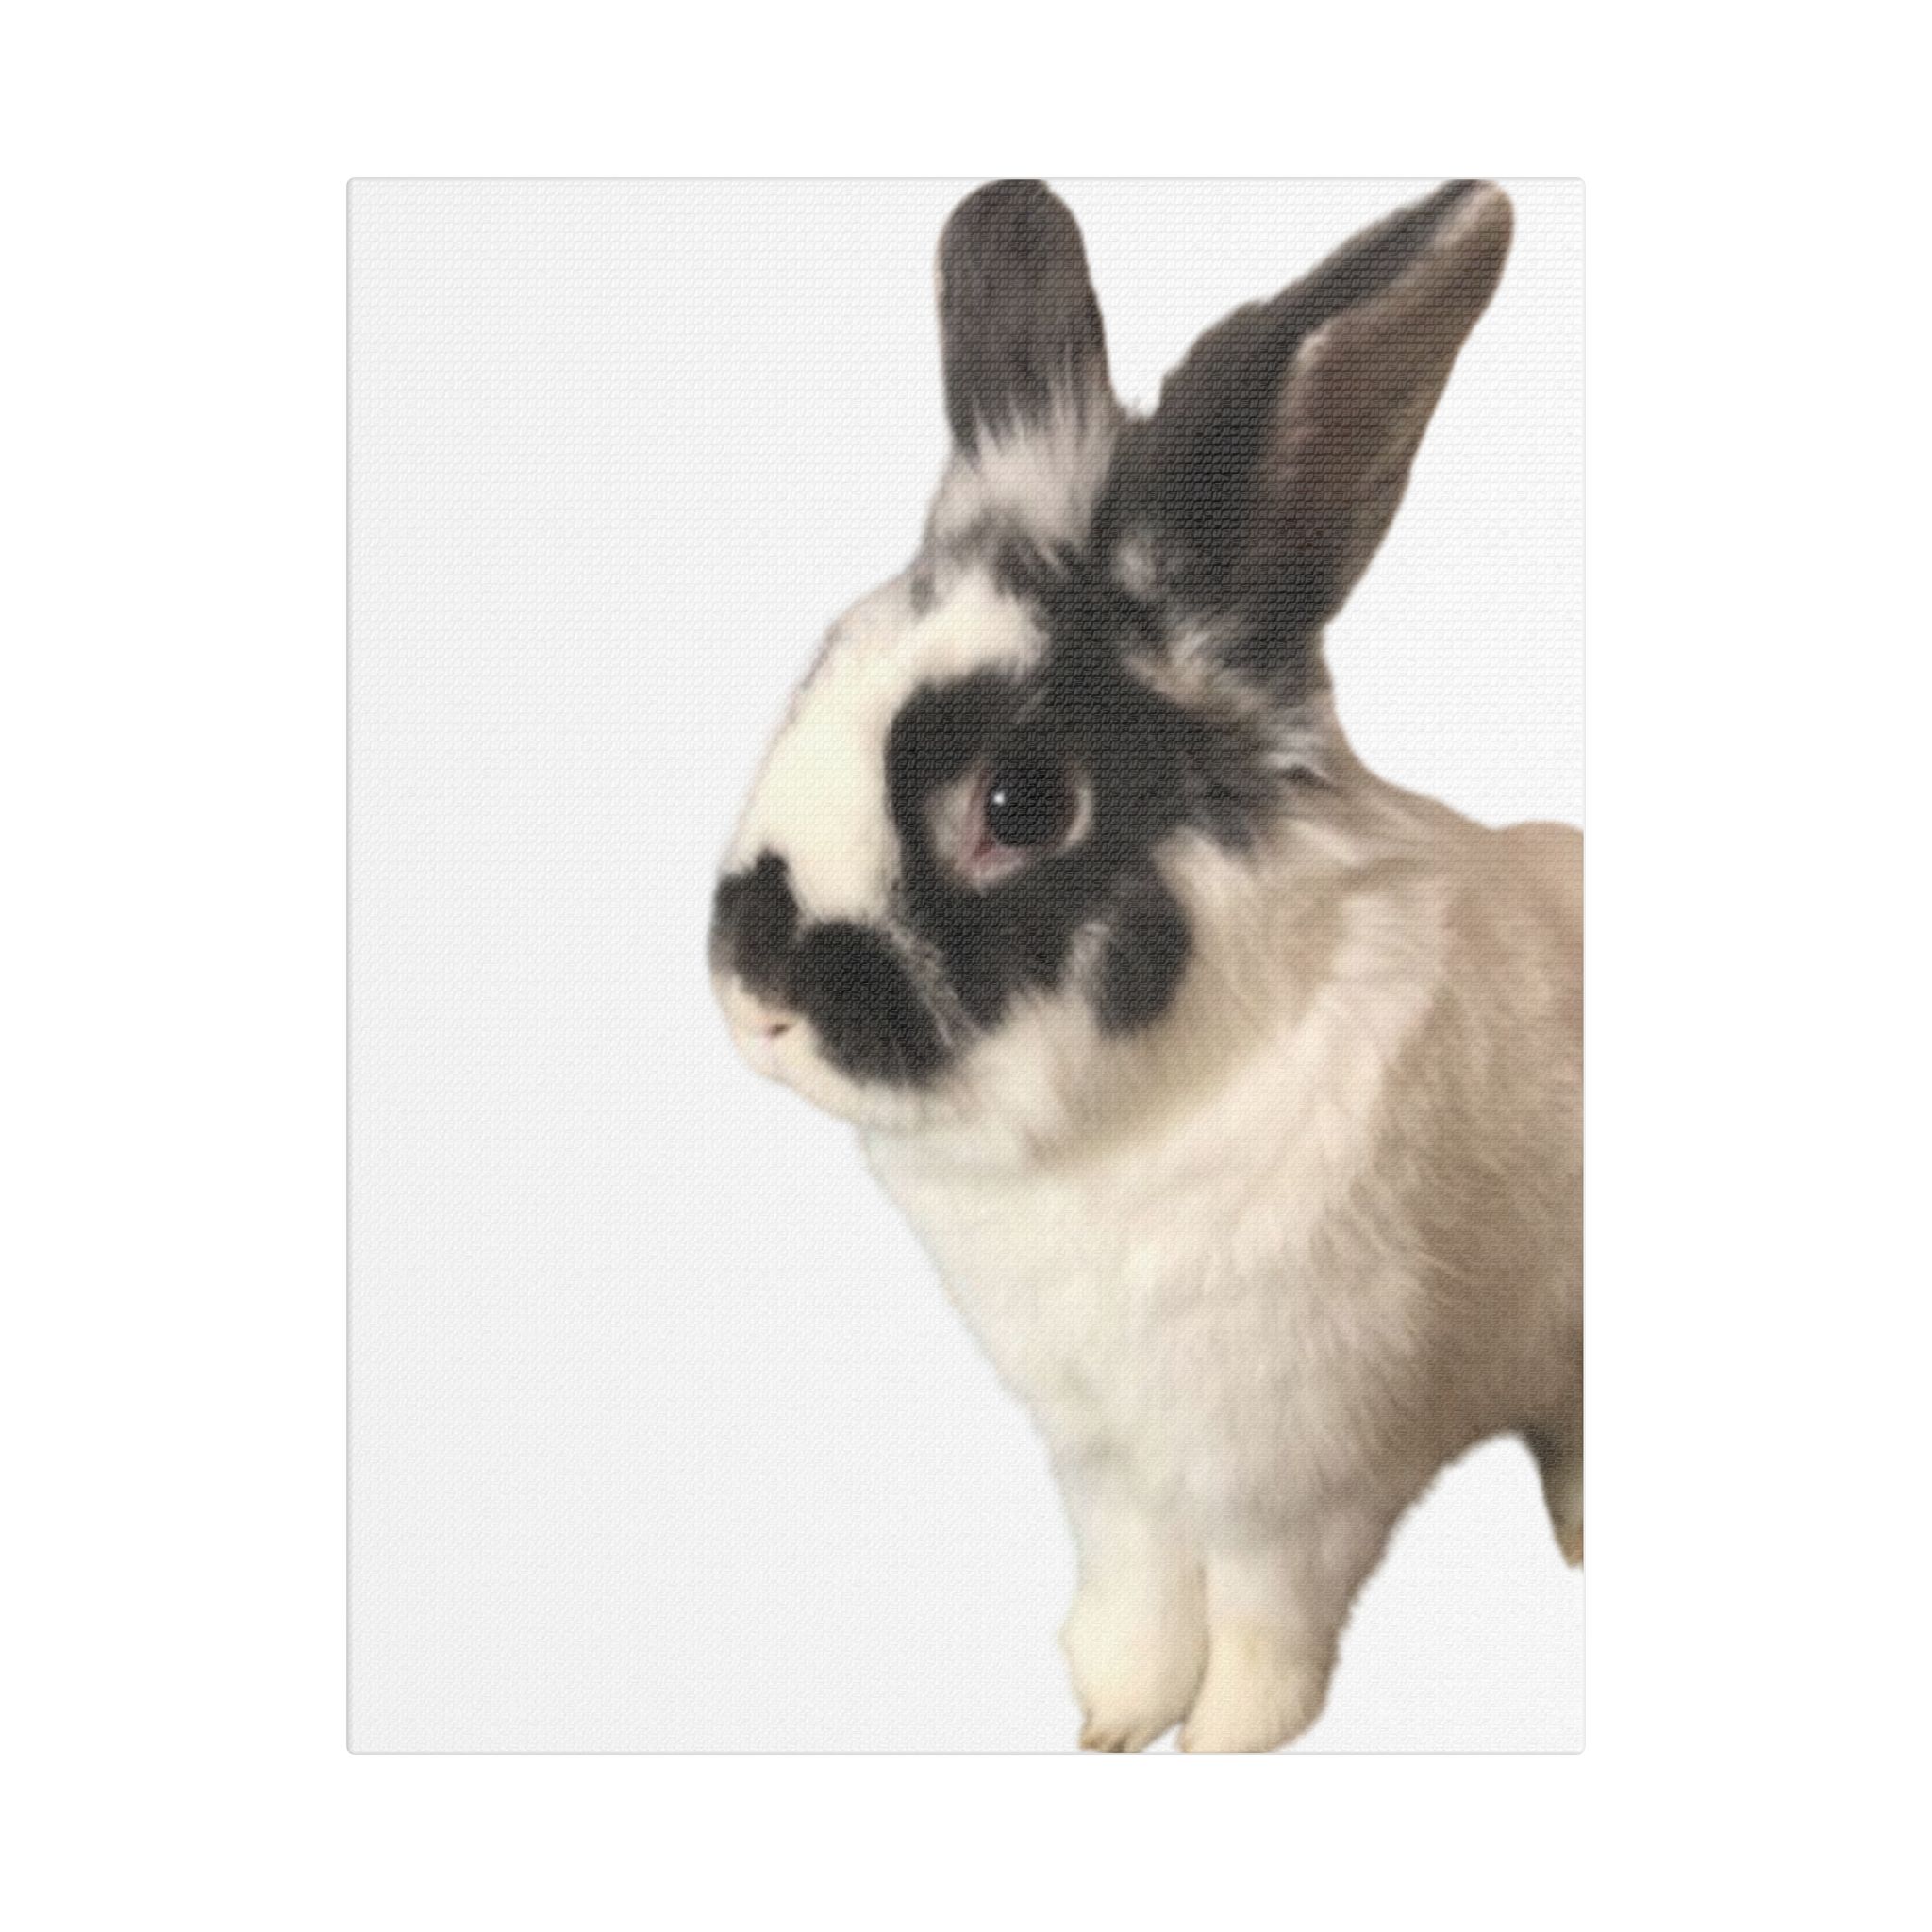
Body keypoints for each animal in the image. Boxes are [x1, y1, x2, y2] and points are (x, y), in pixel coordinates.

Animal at [709, 179, 1581, 1753]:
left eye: (1020, 804)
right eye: (815, 674)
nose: (759, 998)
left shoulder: (1293, 1476)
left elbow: (1264, 1617)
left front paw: (1229, 1735)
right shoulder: (1106, 1459)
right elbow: (1135, 1586)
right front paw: (1114, 1714)